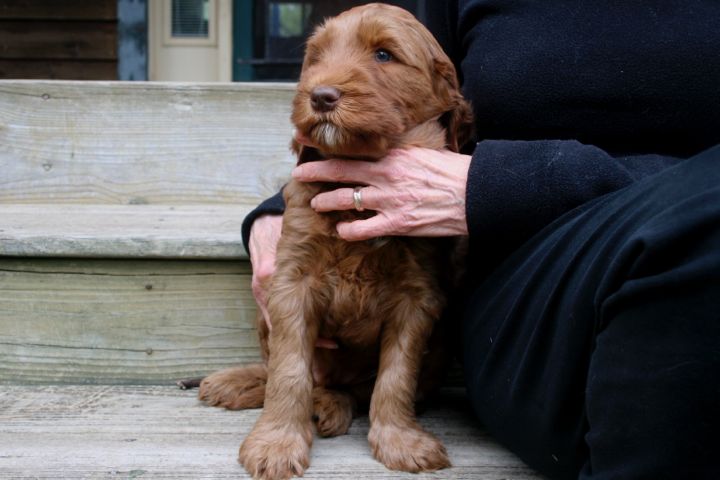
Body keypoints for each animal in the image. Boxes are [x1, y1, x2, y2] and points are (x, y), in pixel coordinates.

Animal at [200, 4, 476, 480]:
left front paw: (400, 441)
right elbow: (290, 370)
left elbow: (395, 376)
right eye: (316, 58)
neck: (356, 183)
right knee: (284, 371)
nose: (321, 96)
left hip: (439, 351)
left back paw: (329, 405)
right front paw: (276, 443)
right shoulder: (291, 282)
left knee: (355, 392)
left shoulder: (418, 298)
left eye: (383, 54)